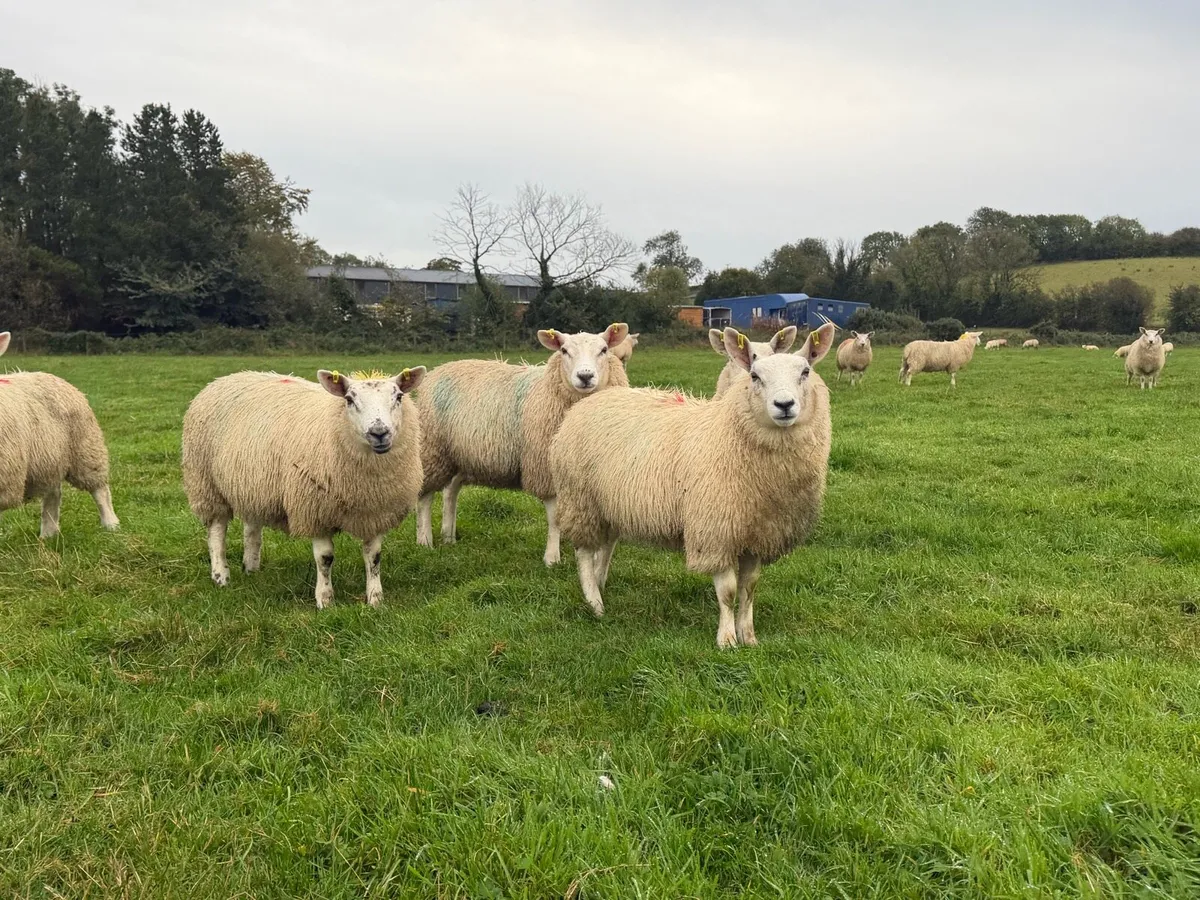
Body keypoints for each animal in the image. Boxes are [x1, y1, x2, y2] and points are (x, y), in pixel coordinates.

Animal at [0, 331, 120, 538]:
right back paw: (49, 533)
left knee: (100, 489)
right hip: (49, 458)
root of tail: (45, 374)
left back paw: (111, 525)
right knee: (53, 492)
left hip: (86, 449)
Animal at [181, 367, 425, 608]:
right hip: (206, 485)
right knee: (216, 532)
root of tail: (225, 378)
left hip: (253, 486)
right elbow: (325, 558)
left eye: (399, 397)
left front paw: (375, 599)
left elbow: (373, 557)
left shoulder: (376, 511)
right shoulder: (314, 510)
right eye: (349, 399)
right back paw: (220, 575)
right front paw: (325, 600)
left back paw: (251, 568)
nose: (379, 433)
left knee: (252, 529)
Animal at [414, 324, 630, 566]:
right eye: (564, 350)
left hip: (460, 455)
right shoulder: (545, 469)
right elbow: (555, 519)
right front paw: (552, 558)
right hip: (432, 448)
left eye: (604, 350)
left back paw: (448, 536)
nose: (585, 376)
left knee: (451, 490)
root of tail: (439, 369)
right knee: (425, 496)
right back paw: (425, 540)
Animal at [550, 322, 837, 649]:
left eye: (805, 372)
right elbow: (728, 591)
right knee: (584, 551)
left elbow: (749, 588)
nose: (784, 405)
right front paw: (727, 640)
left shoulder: (758, 533)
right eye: (754, 376)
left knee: (606, 545)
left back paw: (599, 584)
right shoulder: (714, 530)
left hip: (608, 503)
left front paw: (749, 637)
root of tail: (589, 400)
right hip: (579, 497)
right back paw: (594, 602)